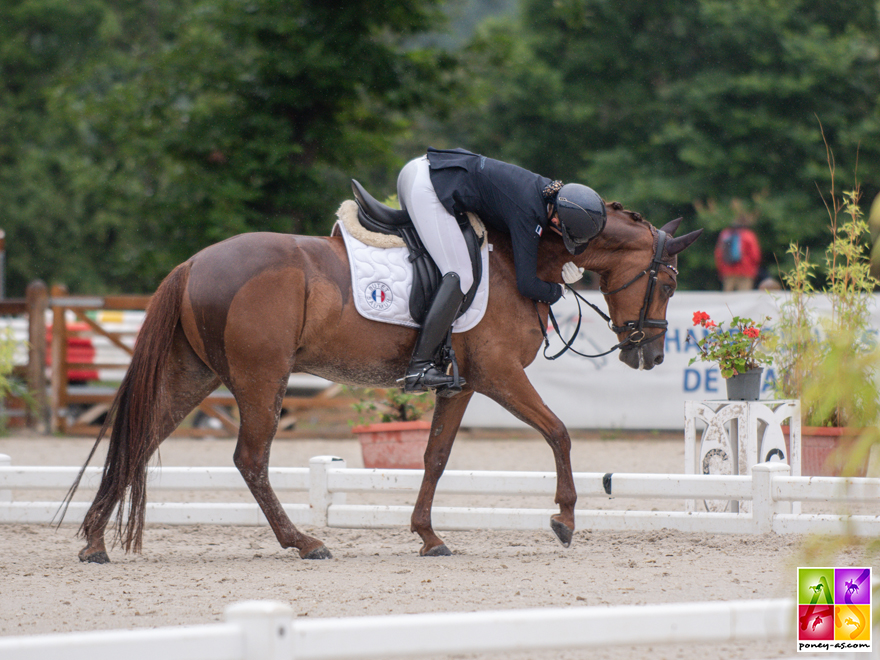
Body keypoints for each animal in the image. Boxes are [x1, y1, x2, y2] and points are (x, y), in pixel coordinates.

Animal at [62, 201, 700, 564]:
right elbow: (560, 432)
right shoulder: (499, 374)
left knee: (140, 440)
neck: (521, 257)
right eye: (667, 282)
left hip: (197, 375)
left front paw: (428, 537)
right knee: (249, 458)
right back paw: (305, 543)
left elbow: (436, 457)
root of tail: (194, 262)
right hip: (261, 378)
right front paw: (564, 520)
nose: (651, 355)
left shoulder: (461, 384)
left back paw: (94, 540)